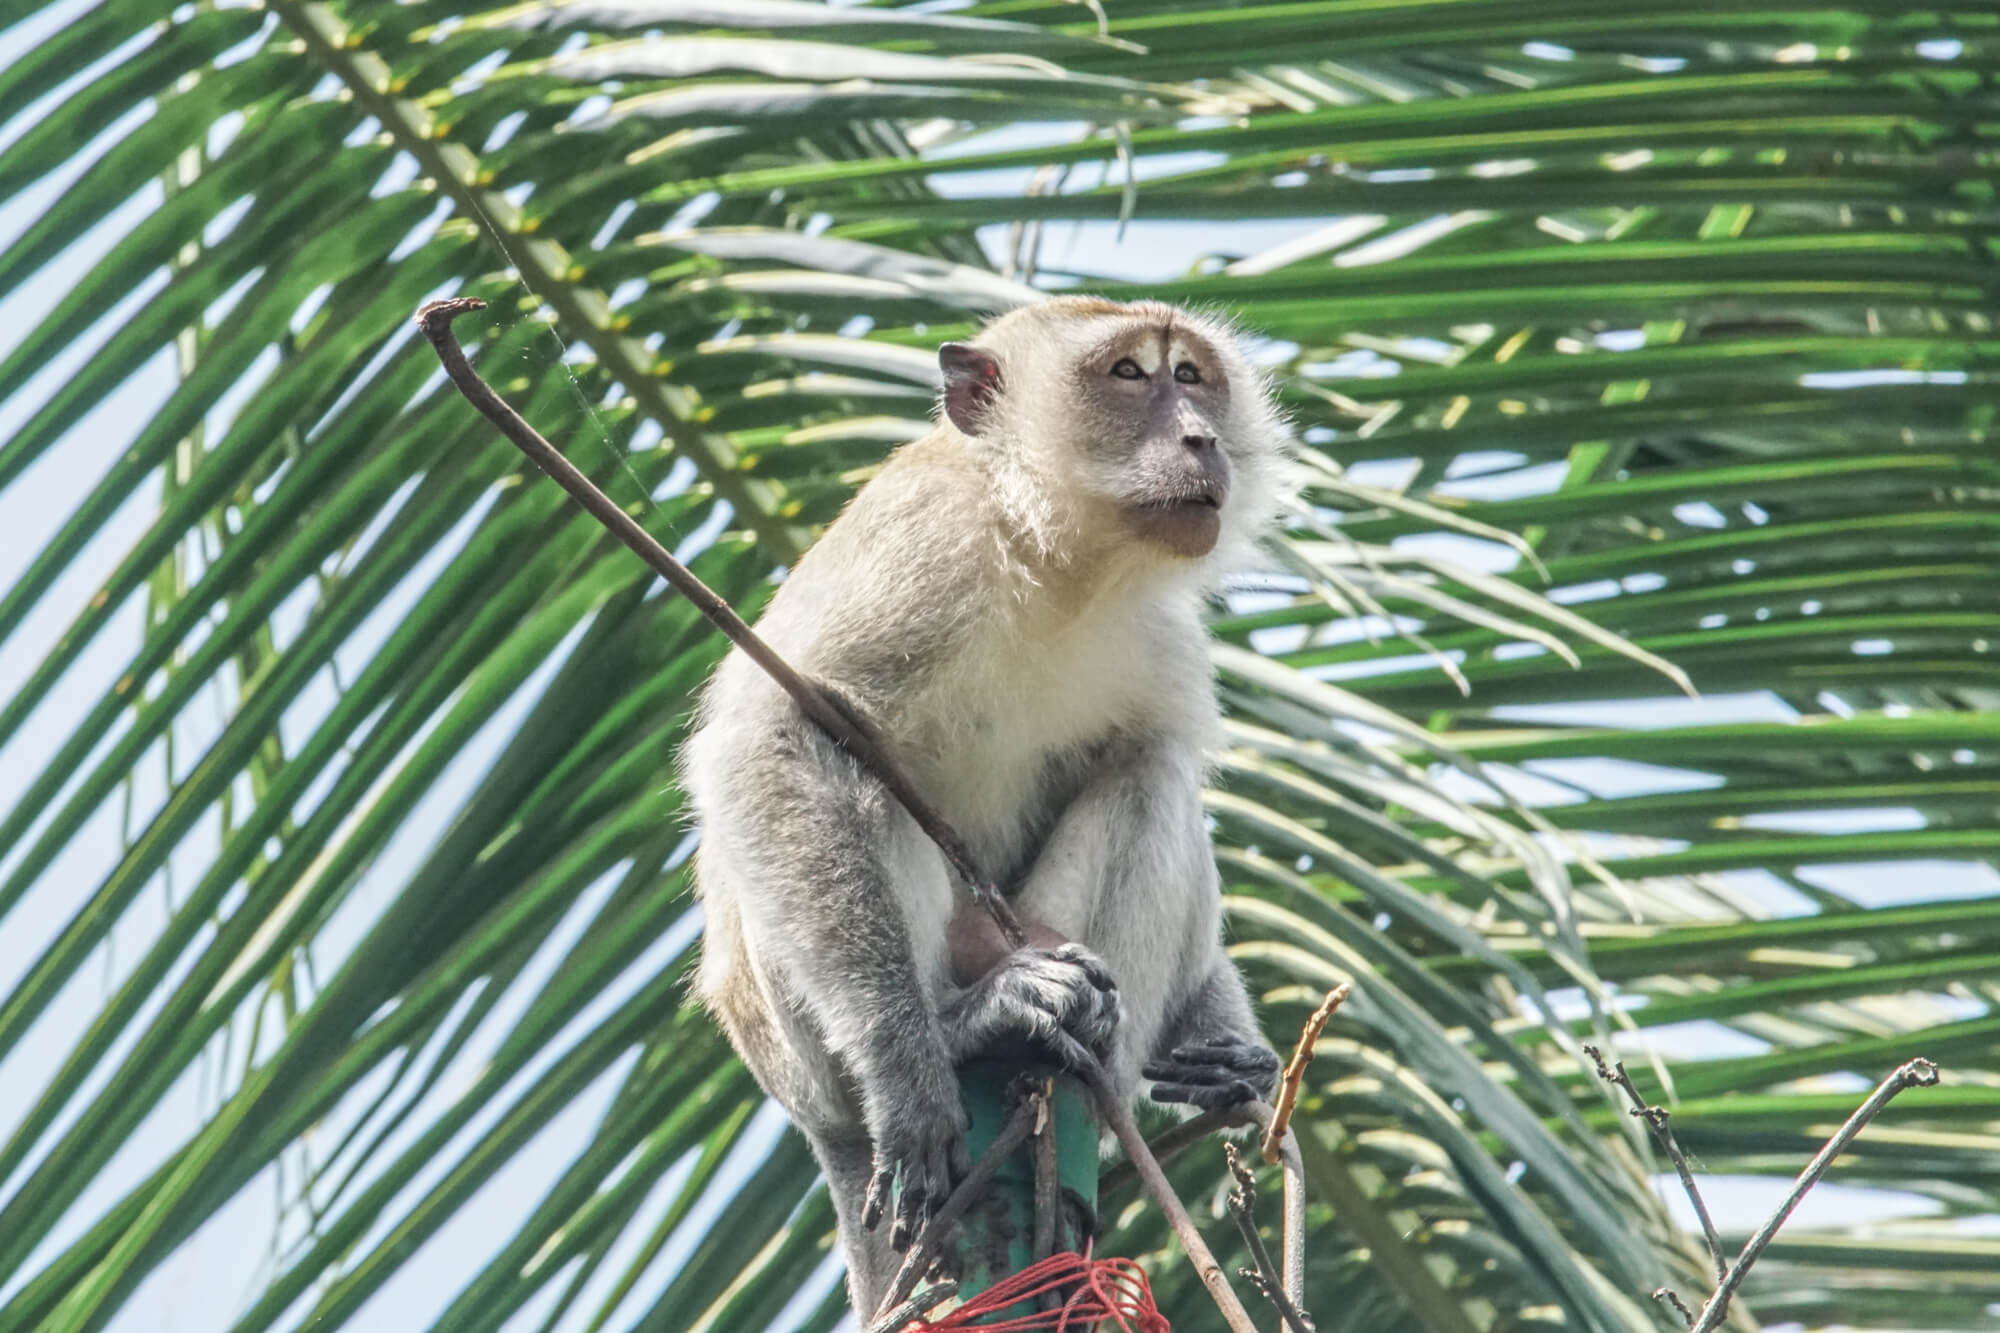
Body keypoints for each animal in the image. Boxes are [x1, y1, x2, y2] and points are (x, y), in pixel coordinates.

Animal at [680, 294, 1288, 1304]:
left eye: (1193, 378)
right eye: (1129, 374)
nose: (1203, 438)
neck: (1053, 560)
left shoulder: (1162, 633)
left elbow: (1150, 752)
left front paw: (1224, 1049)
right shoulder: (920, 546)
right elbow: (773, 739)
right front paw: (909, 1072)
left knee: (1151, 773)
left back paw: (1094, 1059)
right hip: (801, 1044)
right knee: (860, 775)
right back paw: (972, 1025)